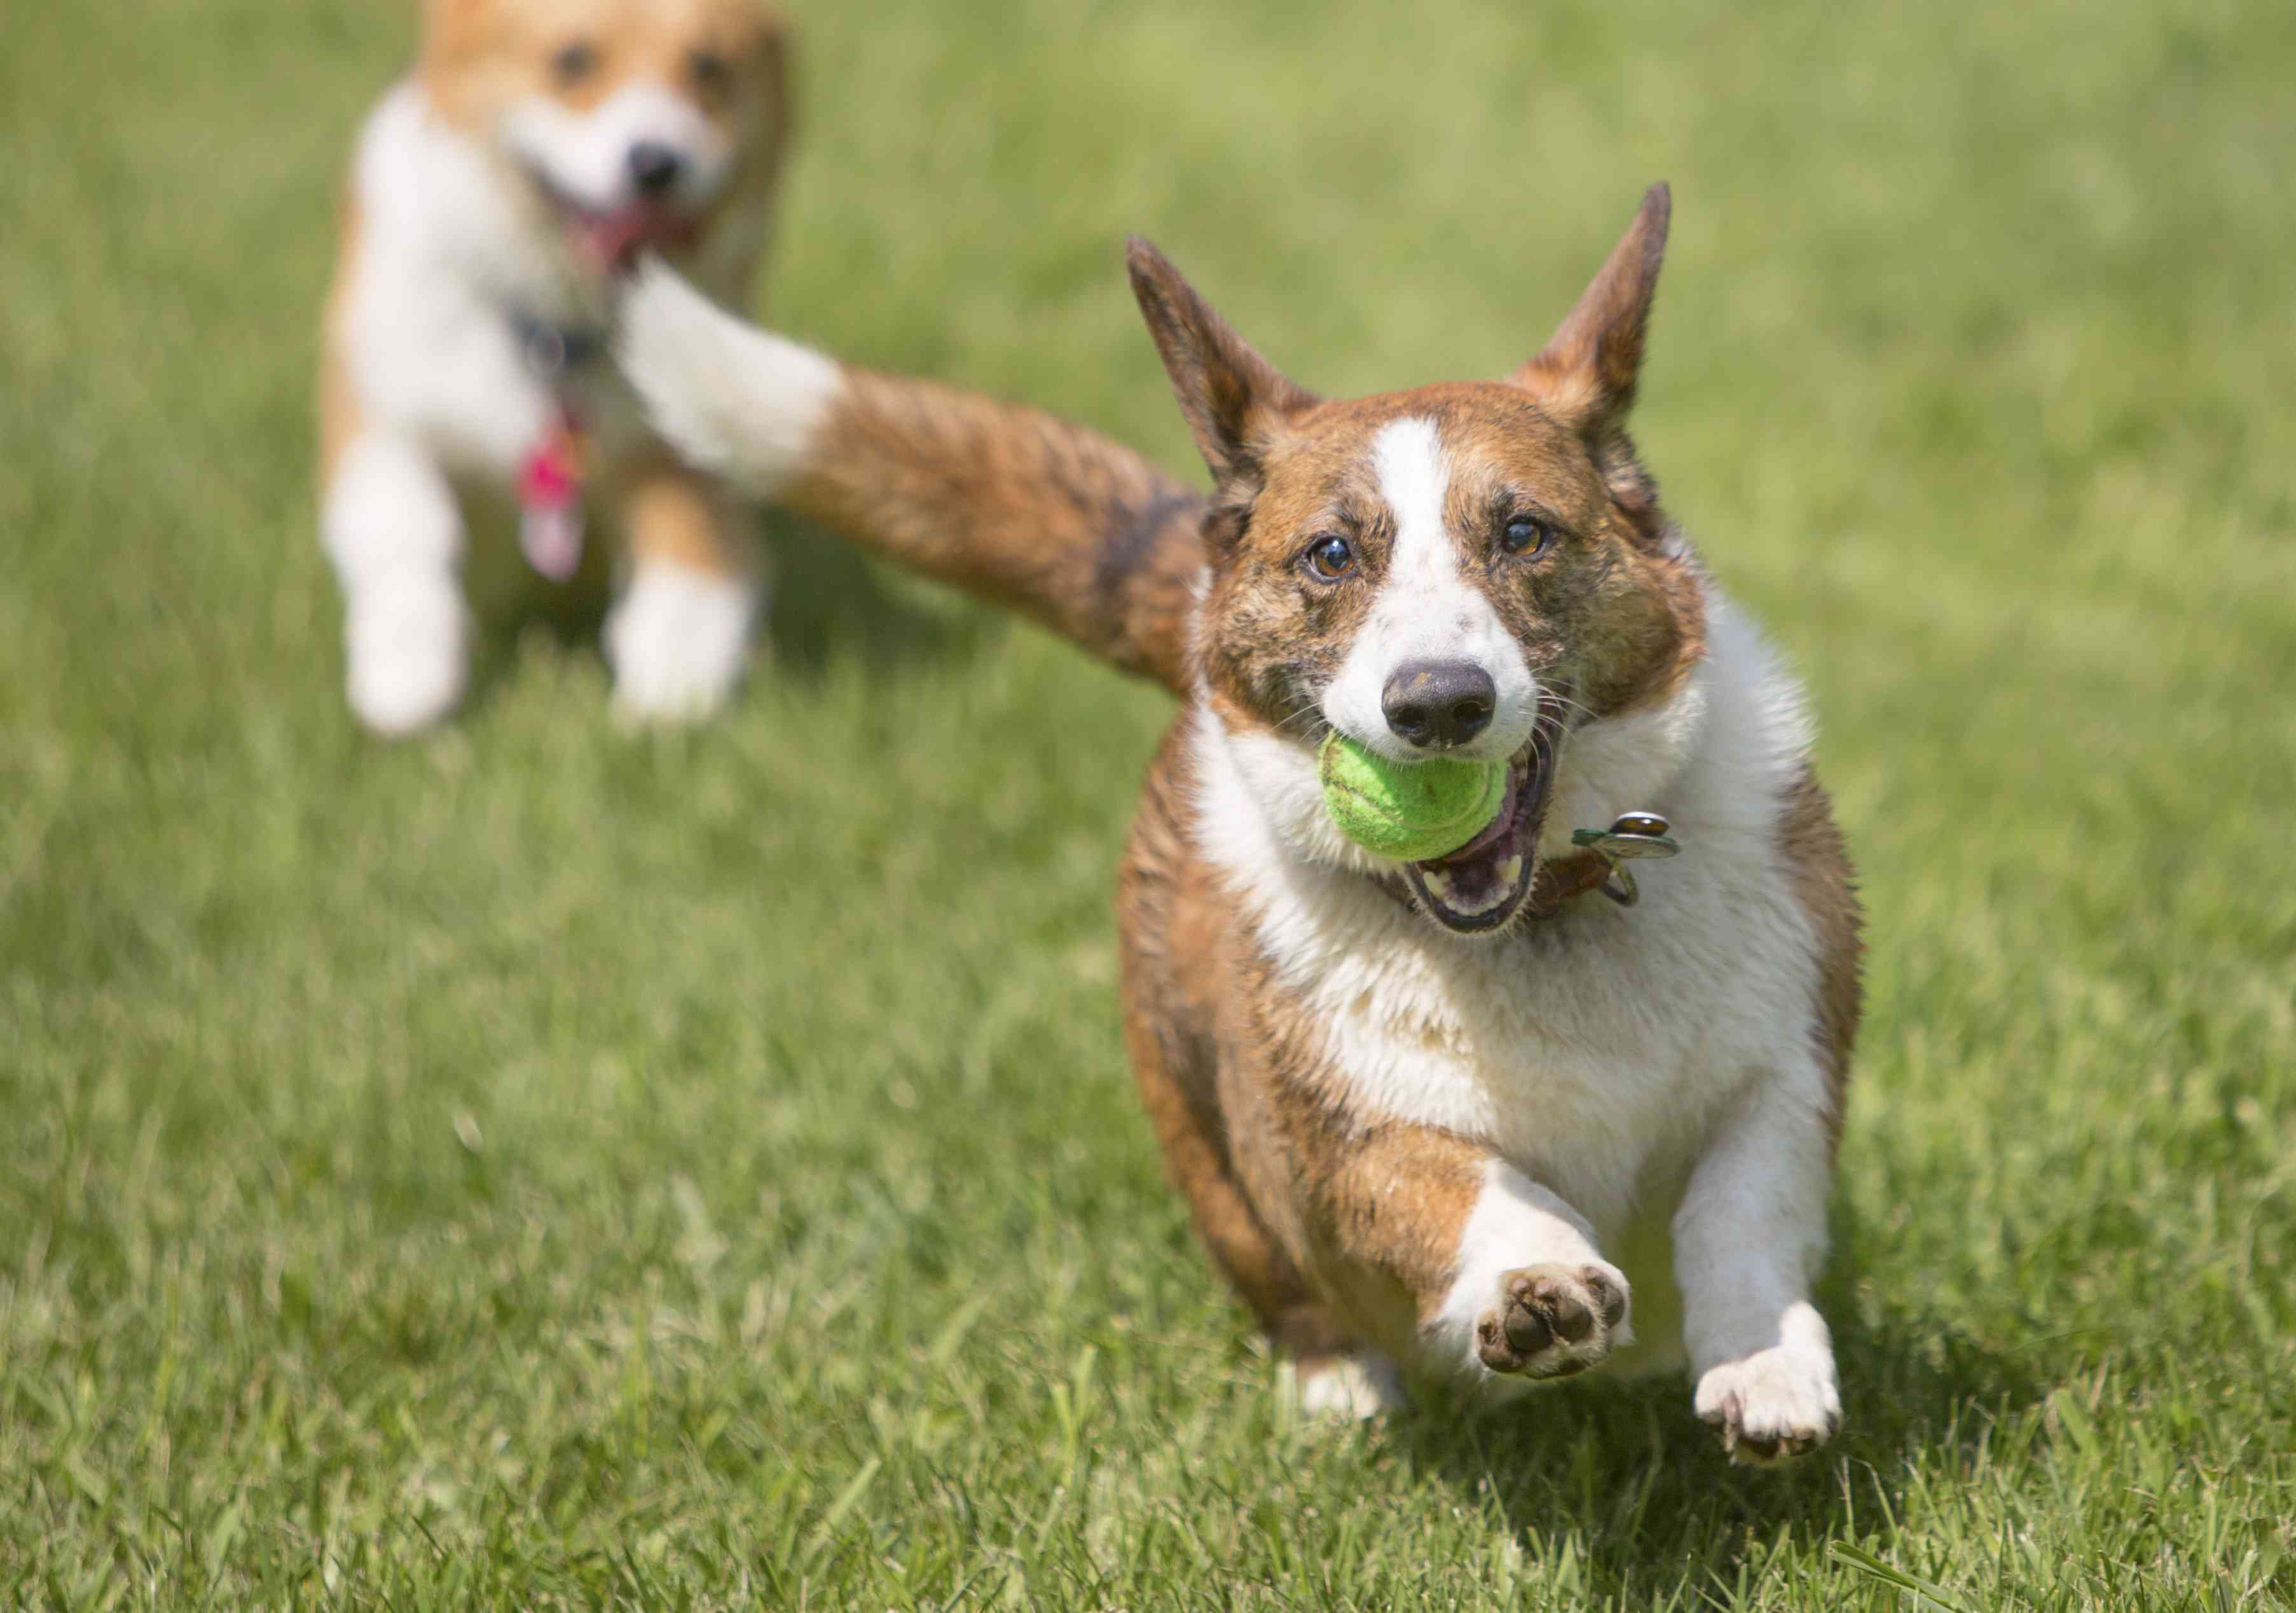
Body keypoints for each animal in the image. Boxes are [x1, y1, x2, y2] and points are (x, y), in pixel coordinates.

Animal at [319, 0, 790, 734]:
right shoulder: (378, 404)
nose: (656, 164)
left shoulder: (683, 439)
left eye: (709, 66)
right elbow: (404, 528)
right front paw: (406, 678)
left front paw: (669, 689)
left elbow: (691, 554)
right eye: (572, 60)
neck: (555, 334)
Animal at [624, 186, 1864, 1468]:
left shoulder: (1786, 1067)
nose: (1438, 704)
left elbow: (1740, 1209)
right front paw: (1538, 1285)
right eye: (1331, 554)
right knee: (1279, 1275)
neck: (1534, 927)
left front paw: (1766, 1369)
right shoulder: (1339, 1140)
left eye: (1523, 534)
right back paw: (1339, 1388)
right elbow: (1465, 1189)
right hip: (1195, 1126)